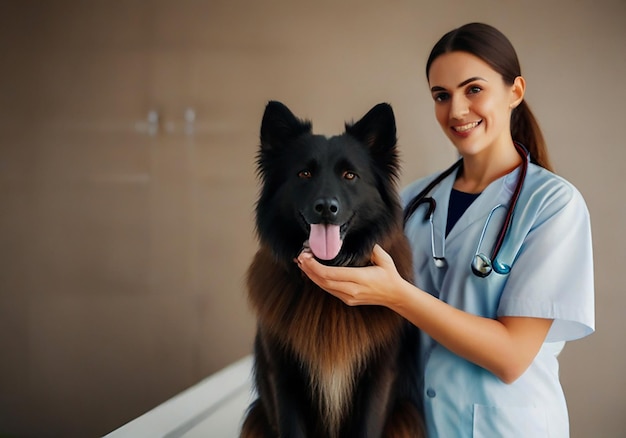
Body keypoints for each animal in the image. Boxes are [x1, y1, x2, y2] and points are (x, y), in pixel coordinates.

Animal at [241, 102, 422, 438]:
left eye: (350, 175)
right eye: (304, 173)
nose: (326, 207)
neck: (325, 295)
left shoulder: (379, 376)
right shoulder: (282, 376)